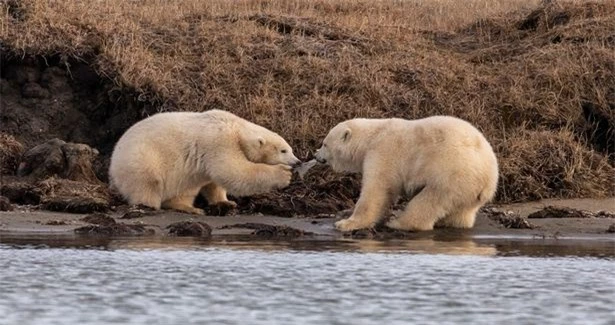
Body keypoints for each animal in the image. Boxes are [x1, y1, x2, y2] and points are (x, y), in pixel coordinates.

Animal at [110, 110, 304, 214]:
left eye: (290, 148)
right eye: (284, 150)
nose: (297, 161)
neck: (235, 128)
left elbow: (214, 181)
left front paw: (226, 202)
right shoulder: (220, 141)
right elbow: (232, 171)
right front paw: (283, 174)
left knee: (185, 187)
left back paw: (188, 207)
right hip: (141, 158)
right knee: (148, 182)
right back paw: (151, 205)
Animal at [316, 115, 498, 232]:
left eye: (325, 144)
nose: (316, 155)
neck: (372, 136)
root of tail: (489, 178)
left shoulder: (383, 153)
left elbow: (377, 189)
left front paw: (345, 223)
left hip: (453, 174)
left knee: (429, 201)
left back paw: (397, 223)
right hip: (469, 190)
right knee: (461, 211)